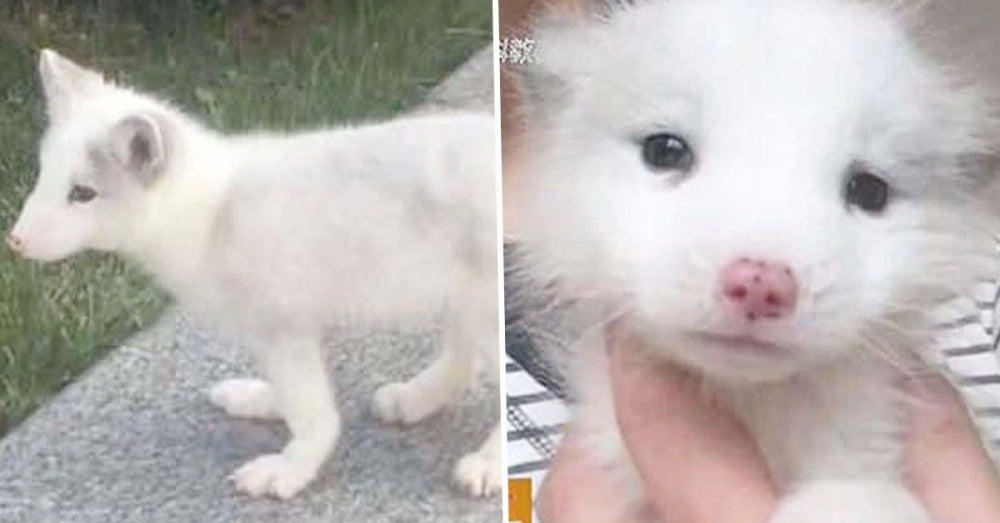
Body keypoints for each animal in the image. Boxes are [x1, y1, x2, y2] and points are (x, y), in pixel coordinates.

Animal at [7, 49, 501, 500]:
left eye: (82, 194)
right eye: (44, 176)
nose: (14, 241)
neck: (209, 211)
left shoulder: (283, 327)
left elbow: (314, 413)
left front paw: (291, 468)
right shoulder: (284, 331)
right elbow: (292, 393)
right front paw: (260, 401)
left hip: (486, 310)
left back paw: (489, 463)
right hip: (461, 300)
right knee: (465, 360)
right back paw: (413, 400)